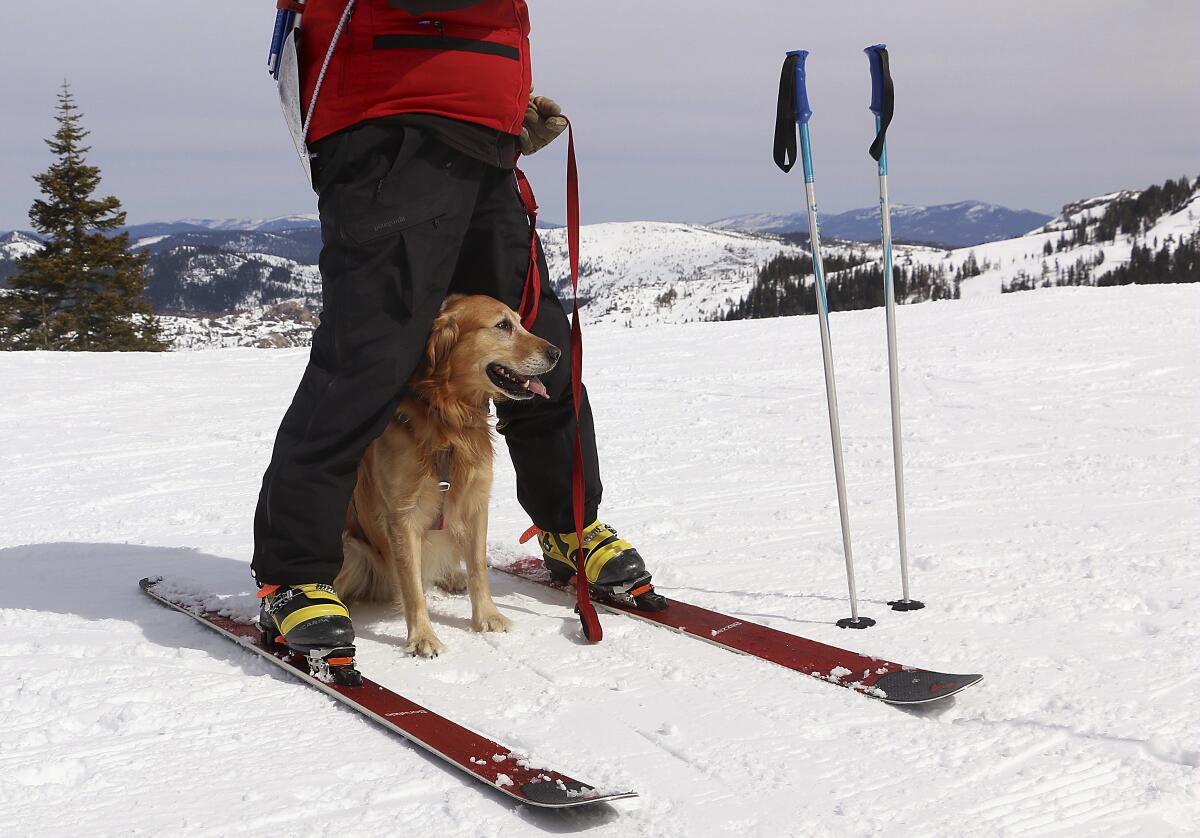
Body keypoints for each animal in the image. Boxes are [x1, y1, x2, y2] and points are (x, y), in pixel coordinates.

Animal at [336, 294, 559, 653]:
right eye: (503, 325)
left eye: (520, 321)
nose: (557, 353)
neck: (449, 422)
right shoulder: (402, 515)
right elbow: (412, 586)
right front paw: (422, 637)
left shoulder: (475, 502)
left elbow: (478, 568)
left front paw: (488, 617)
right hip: (351, 549)